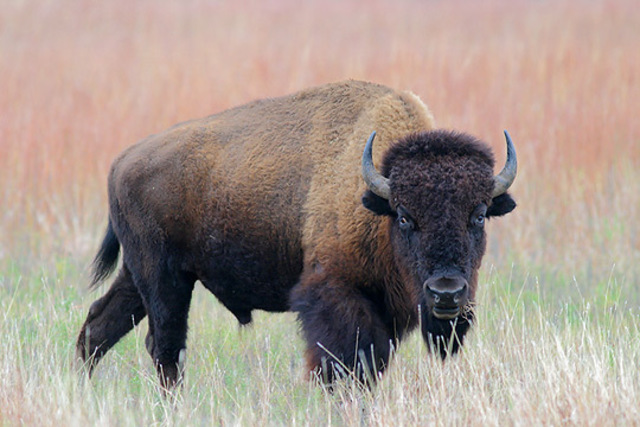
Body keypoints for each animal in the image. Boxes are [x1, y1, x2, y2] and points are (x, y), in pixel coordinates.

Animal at [76, 80, 517, 388]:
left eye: (479, 215)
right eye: (406, 217)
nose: (446, 292)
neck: (375, 196)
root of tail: (122, 161)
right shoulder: (335, 296)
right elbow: (342, 365)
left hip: (141, 276)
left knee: (99, 325)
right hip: (163, 277)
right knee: (165, 346)